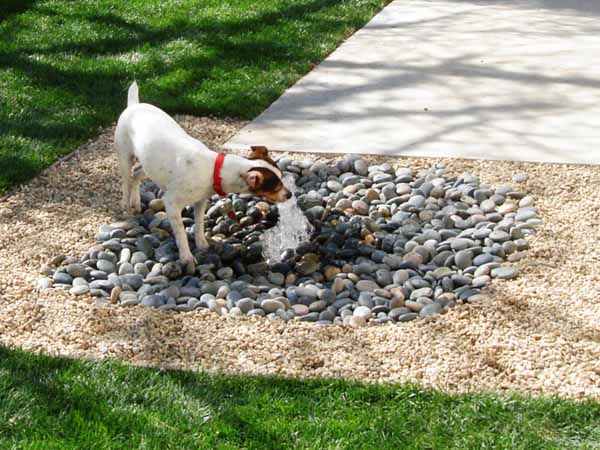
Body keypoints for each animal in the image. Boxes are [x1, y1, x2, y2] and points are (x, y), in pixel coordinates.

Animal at [114, 82, 290, 272]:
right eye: (275, 186)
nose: (290, 195)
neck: (213, 169)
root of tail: (134, 105)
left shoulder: (200, 201)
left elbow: (199, 224)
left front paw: (202, 243)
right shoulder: (171, 204)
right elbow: (181, 234)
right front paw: (186, 257)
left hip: (149, 165)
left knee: (136, 175)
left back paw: (136, 202)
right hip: (125, 158)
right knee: (126, 181)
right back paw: (126, 207)